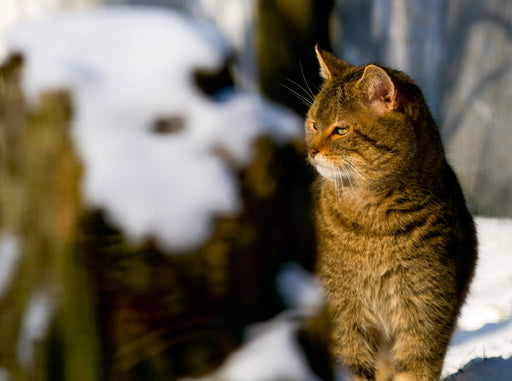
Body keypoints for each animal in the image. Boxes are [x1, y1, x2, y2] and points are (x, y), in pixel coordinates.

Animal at [304, 46, 476, 380]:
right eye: (314, 124)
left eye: (341, 129)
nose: (311, 150)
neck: (374, 227)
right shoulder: (344, 316)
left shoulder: (424, 315)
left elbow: (415, 370)